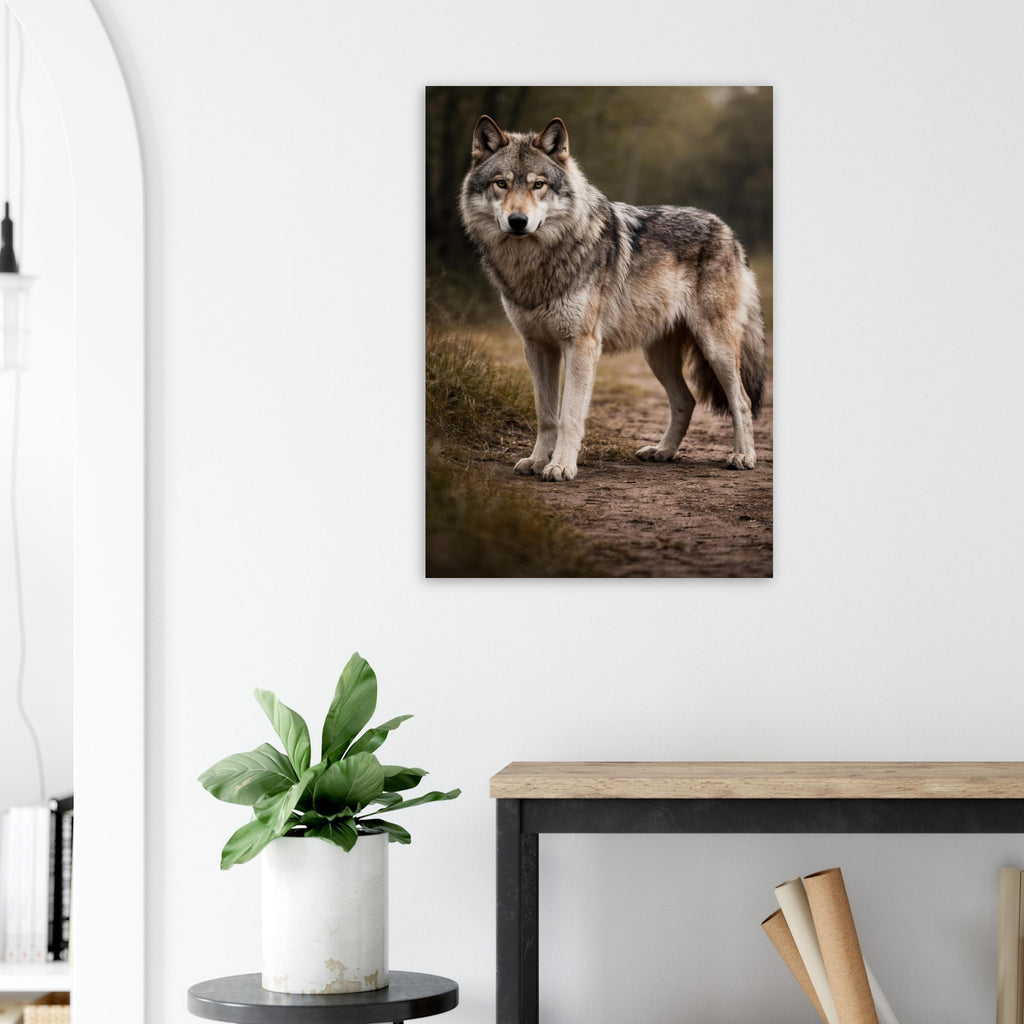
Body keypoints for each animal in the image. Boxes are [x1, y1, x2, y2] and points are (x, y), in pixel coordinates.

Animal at [459, 115, 766, 482]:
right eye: (501, 184)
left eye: (538, 185)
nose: (518, 221)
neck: (535, 263)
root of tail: (728, 231)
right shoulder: (536, 345)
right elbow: (546, 414)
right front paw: (536, 461)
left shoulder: (582, 345)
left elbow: (569, 416)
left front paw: (561, 466)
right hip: (657, 355)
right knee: (686, 401)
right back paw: (662, 452)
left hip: (715, 348)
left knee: (742, 402)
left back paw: (743, 456)